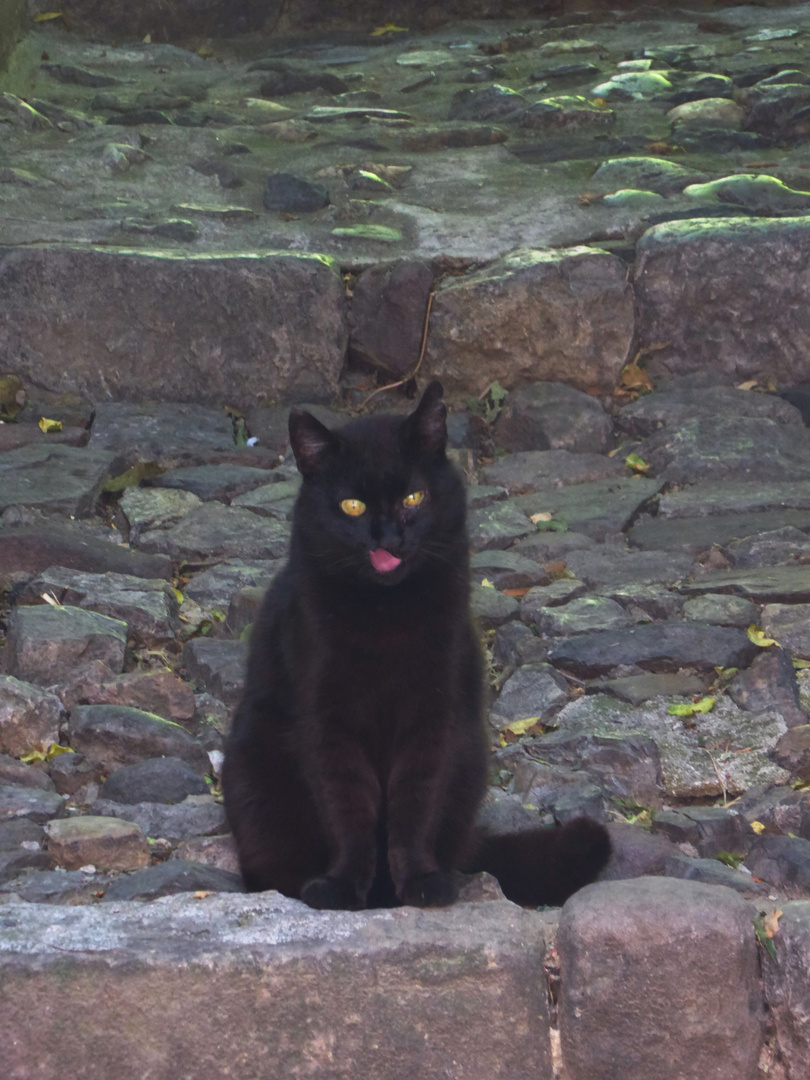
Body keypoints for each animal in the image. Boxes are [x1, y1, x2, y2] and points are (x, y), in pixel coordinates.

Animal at [222, 384, 609, 907]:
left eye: (413, 496)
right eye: (352, 506)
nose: (389, 537)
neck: (386, 616)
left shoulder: (435, 714)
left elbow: (415, 805)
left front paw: (423, 883)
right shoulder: (326, 719)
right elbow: (348, 808)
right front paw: (341, 886)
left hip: (469, 760)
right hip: (253, 772)